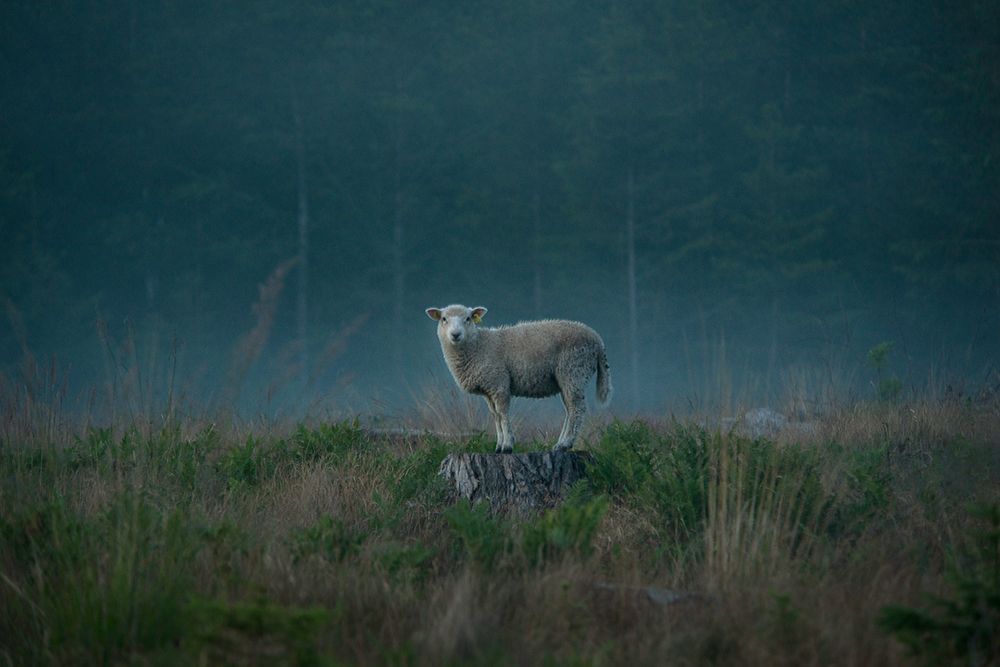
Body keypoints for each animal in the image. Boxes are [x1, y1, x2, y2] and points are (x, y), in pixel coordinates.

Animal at [425, 304, 612, 453]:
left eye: (468, 318)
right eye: (443, 319)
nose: (455, 334)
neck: (478, 346)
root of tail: (597, 339)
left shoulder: (499, 382)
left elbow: (503, 414)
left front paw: (507, 445)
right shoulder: (488, 389)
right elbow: (495, 416)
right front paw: (499, 446)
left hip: (574, 371)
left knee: (577, 409)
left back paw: (565, 444)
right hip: (567, 378)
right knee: (570, 409)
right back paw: (559, 444)